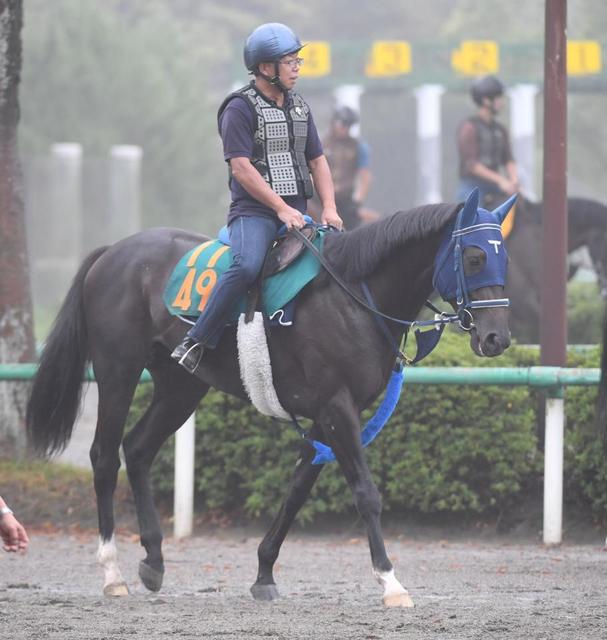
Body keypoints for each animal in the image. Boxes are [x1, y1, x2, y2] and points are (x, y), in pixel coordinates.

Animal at [27, 192, 512, 608]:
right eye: (474, 257)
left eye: (503, 254)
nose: (497, 338)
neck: (354, 295)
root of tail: (112, 252)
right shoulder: (337, 409)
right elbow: (365, 493)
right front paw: (391, 582)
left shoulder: (328, 415)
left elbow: (297, 490)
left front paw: (264, 572)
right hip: (118, 372)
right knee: (105, 456)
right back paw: (113, 573)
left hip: (181, 386)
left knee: (139, 448)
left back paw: (154, 560)